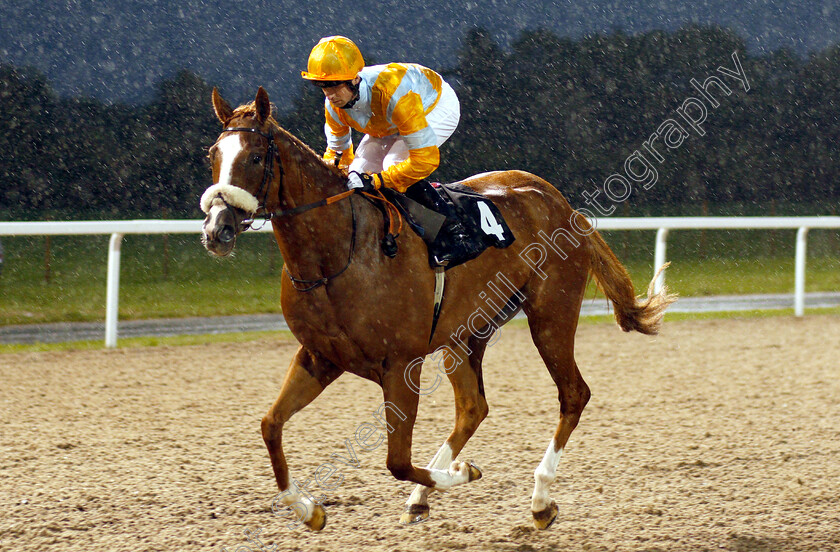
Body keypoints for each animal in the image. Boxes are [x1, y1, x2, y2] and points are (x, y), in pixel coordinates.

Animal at [199, 86, 676, 532]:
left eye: (256, 156)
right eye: (212, 155)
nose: (217, 229)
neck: (339, 251)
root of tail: (559, 201)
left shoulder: (400, 364)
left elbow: (395, 461)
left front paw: (464, 473)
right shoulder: (320, 357)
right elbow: (270, 425)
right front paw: (308, 509)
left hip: (550, 315)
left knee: (573, 393)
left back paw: (539, 499)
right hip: (464, 334)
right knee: (472, 407)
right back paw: (422, 498)